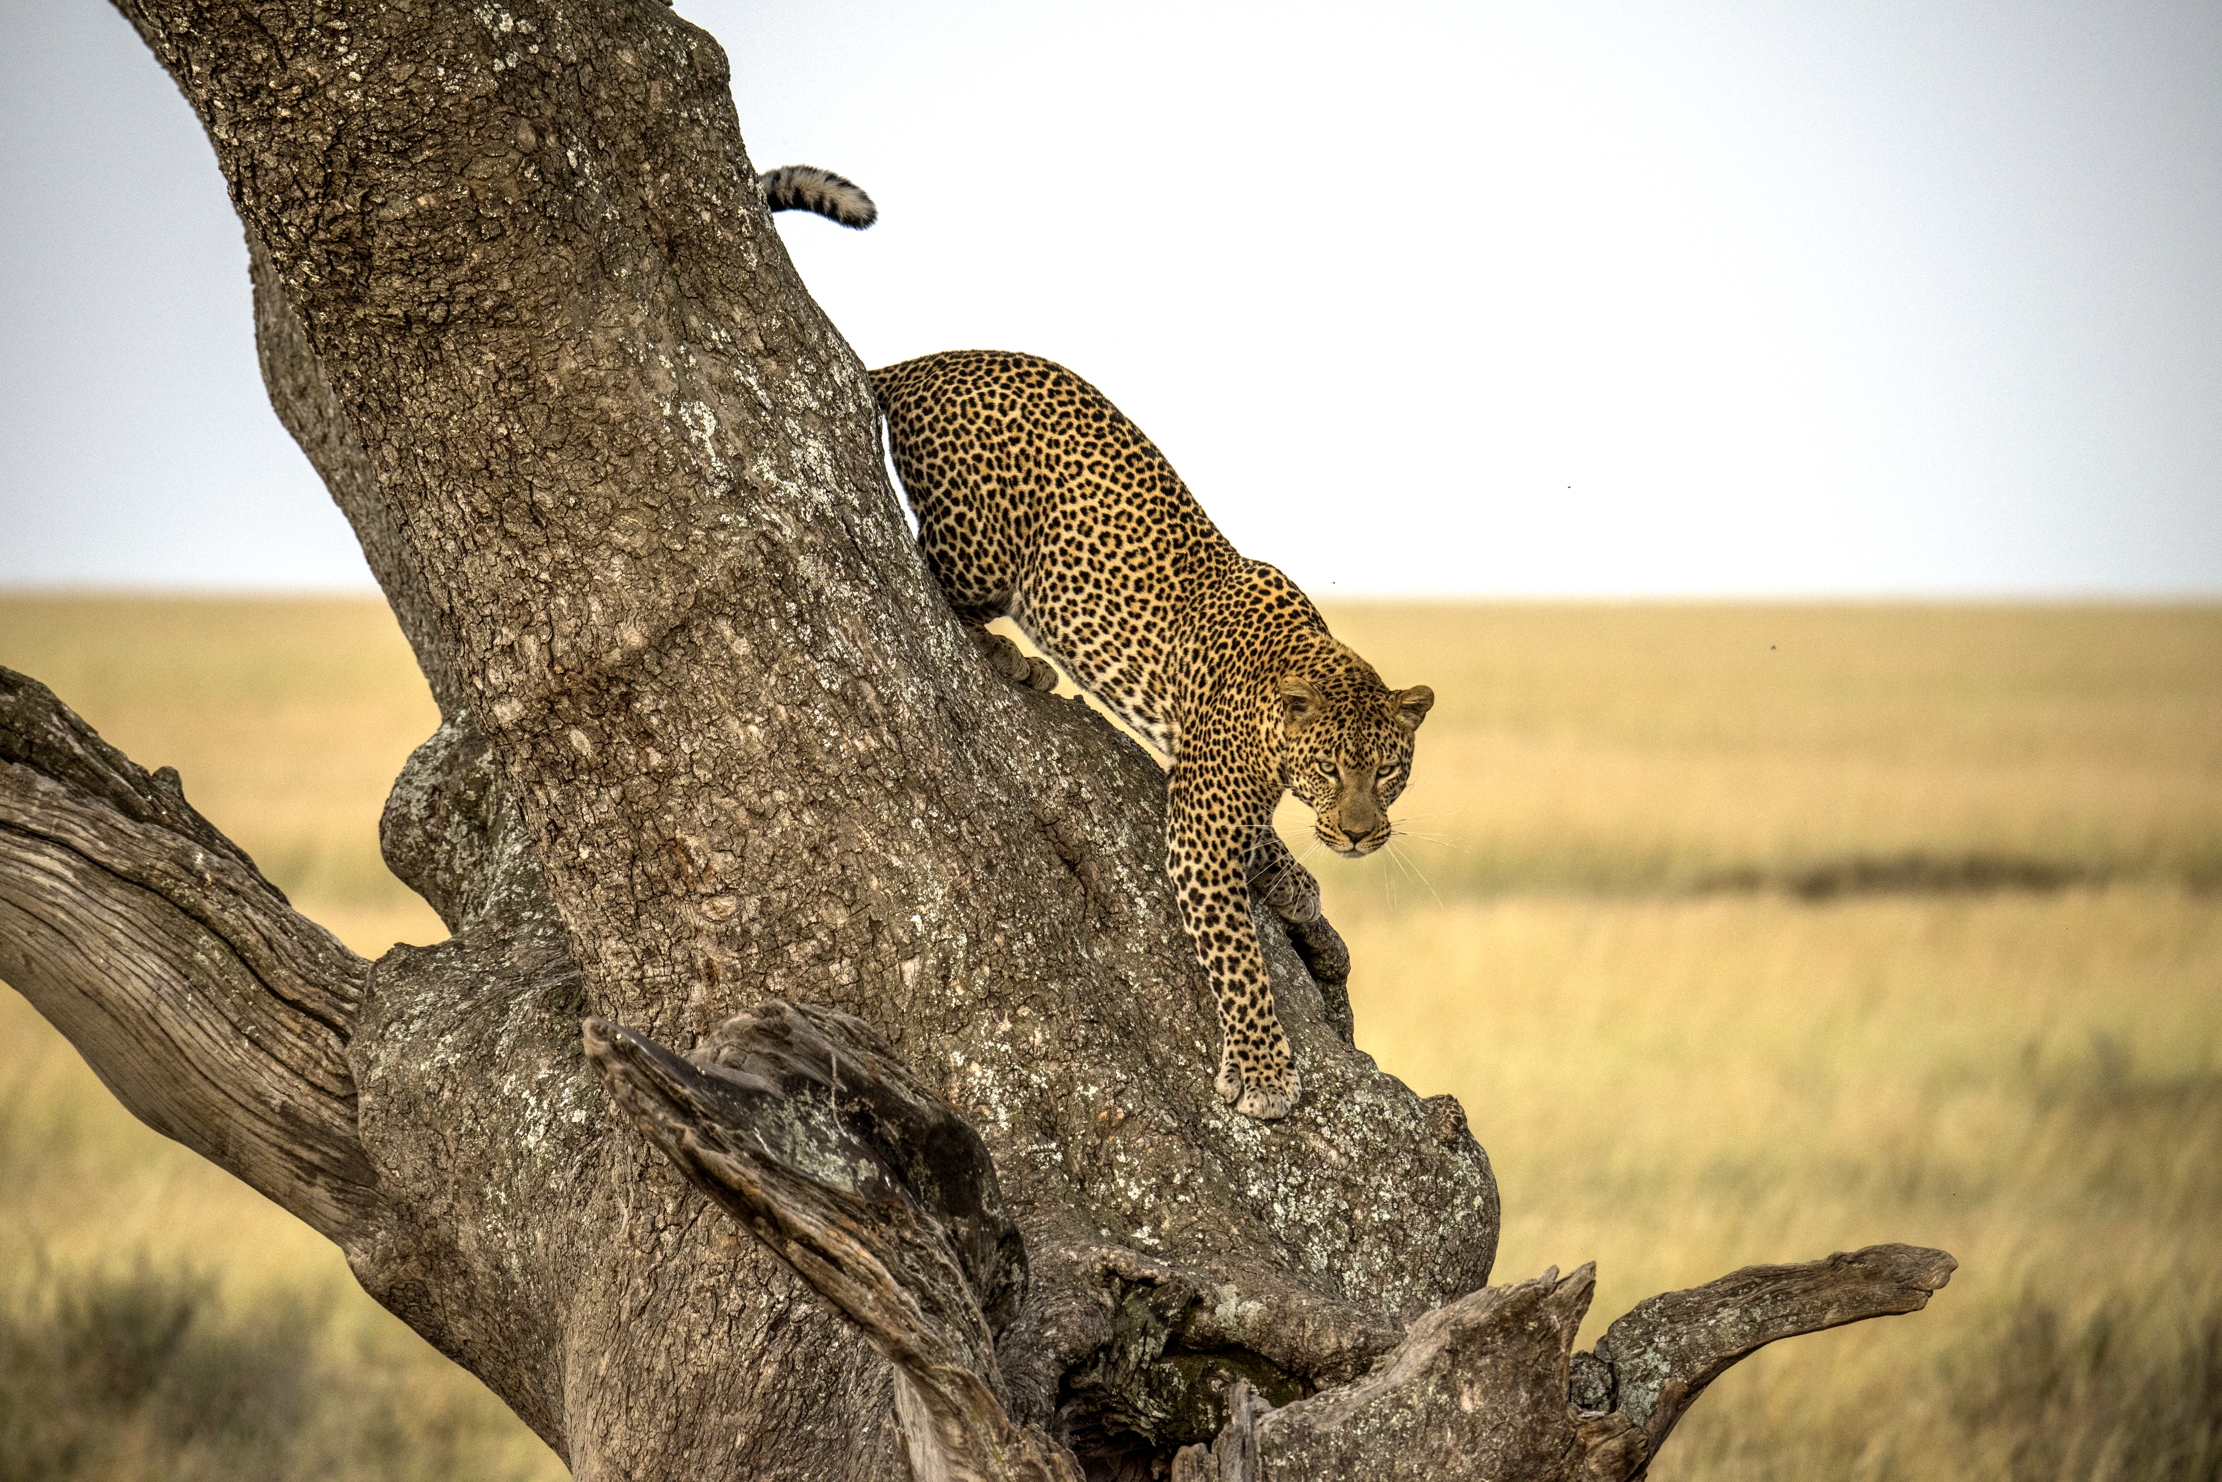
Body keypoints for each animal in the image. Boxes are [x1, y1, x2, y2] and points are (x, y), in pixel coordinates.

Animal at [869, 351, 1434, 1121]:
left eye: (1386, 774)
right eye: (1330, 769)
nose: (1358, 836)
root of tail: (920, 363)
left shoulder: (1208, 783)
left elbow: (1262, 838)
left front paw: (1291, 881)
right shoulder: (1201, 825)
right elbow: (1239, 960)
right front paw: (1263, 1073)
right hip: (980, 546)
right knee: (931, 577)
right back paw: (1014, 658)